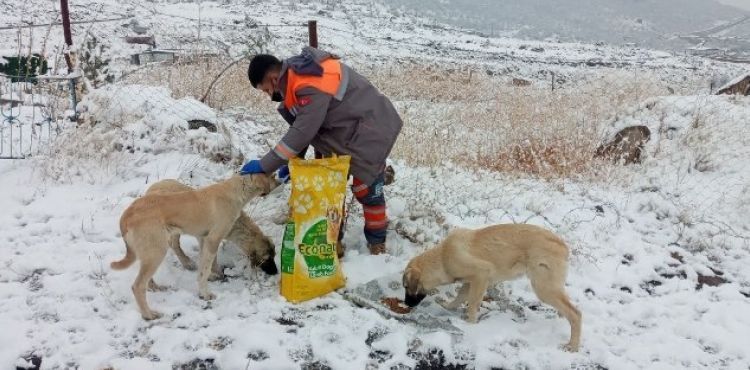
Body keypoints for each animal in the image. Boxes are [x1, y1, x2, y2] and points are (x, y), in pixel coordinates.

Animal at [144, 179, 280, 278]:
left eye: (274, 255)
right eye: (266, 259)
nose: (276, 272)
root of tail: (152, 187)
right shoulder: (207, 237)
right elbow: (210, 258)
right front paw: (216, 273)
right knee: (174, 244)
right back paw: (187, 263)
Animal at [402, 224, 584, 352]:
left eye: (407, 287)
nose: (406, 305)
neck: (442, 258)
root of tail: (563, 246)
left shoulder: (481, 274)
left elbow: (472, 304)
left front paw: (470, 326)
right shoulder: (471, 282)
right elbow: (459, 297)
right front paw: (448, 306)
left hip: (544, 288)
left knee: (576, 314)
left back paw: (572, 346)